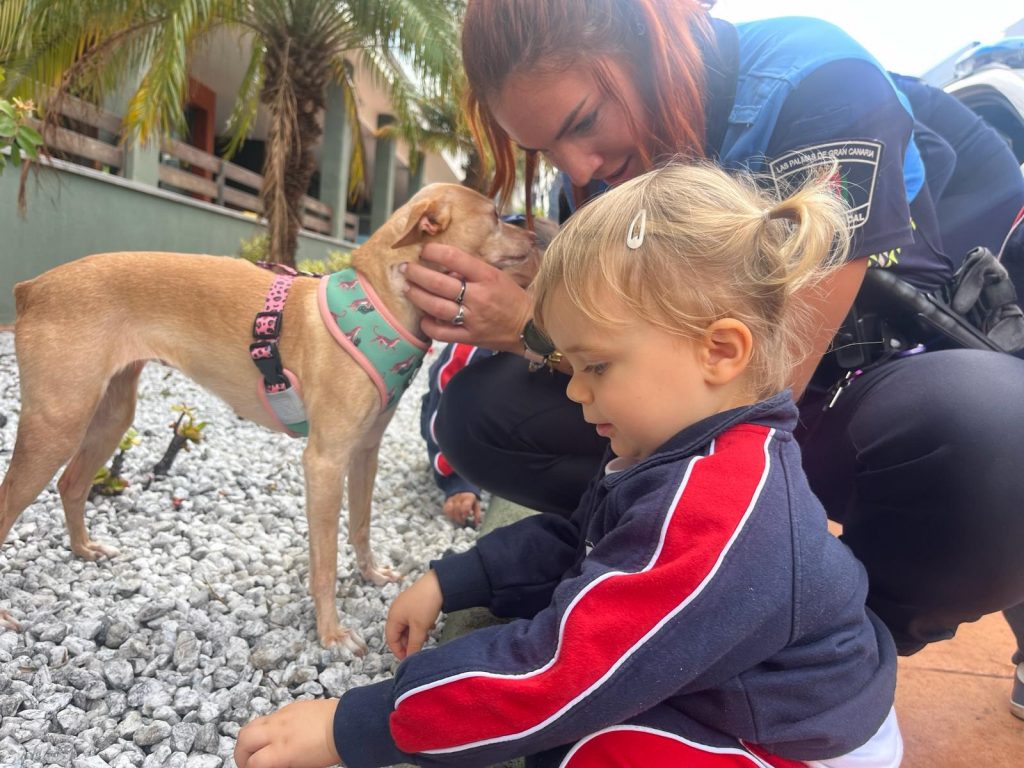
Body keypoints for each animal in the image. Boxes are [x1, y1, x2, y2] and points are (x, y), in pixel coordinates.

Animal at [0, 183, 532, 651]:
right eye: (494, 215)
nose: (534, 235)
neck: (383, 297)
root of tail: (32, 287)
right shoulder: (324, 462)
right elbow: (324, 562)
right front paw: (331, 634)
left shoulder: (364, 452)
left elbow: (361, 525)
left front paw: (370, 574)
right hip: (57, 423)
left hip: (110, 414)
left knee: (72, 484)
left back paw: (84, 549)